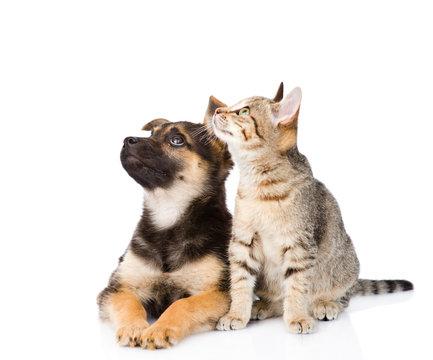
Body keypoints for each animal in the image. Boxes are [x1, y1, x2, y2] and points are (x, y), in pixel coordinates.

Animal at [97, 97, 233, 350]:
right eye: (152, 134)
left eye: (176, 140)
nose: (127, 140)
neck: (168, 216)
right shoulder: (117, 288)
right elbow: (128, 304)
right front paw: (134, 327)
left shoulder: (218, 292)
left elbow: (183, 304)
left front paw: (159, 329)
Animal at [208, 83, 414, 334]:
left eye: (244, 111)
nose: (217, 111)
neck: (260, 185)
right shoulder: (242, 242)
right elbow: (239, 282)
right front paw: (236, 313)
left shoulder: (299, 245)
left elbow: (297, 286)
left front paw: (297, 316)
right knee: (279, 300)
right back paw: (264, 306)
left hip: (346, 265)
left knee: (343, 297)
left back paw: (325, 304)